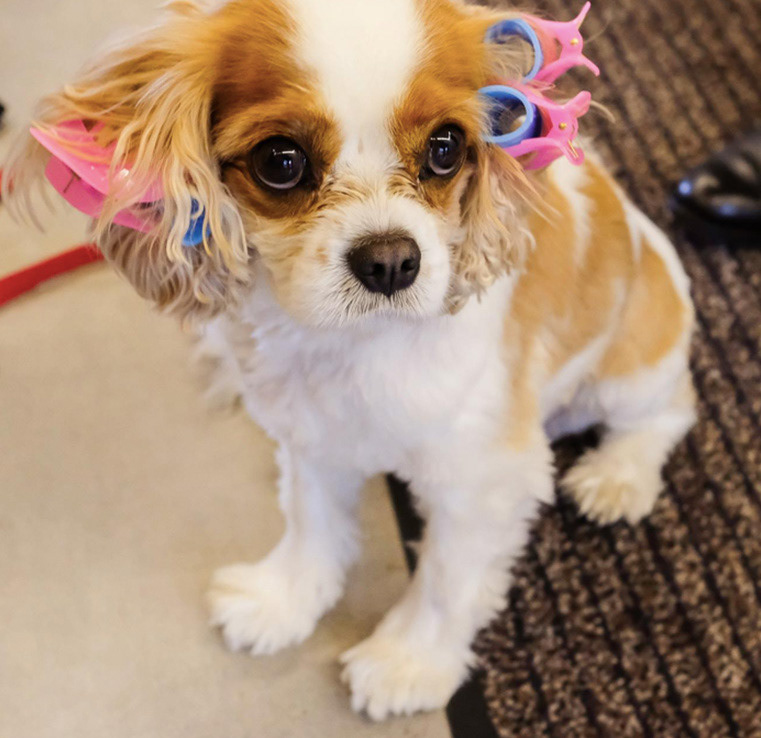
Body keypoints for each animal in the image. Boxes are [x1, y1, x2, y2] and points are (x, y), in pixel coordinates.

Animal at [5, 0, 695, 721]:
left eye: (446, 148)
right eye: (281, 161)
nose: (390, 261)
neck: (350, 346)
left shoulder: (482, 477)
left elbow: (447, 580)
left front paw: (407, 662)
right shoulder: (312, 436)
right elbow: (310, 523)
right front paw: (283, 598)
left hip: (632, 359)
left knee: (671, 408)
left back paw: (618, 475)